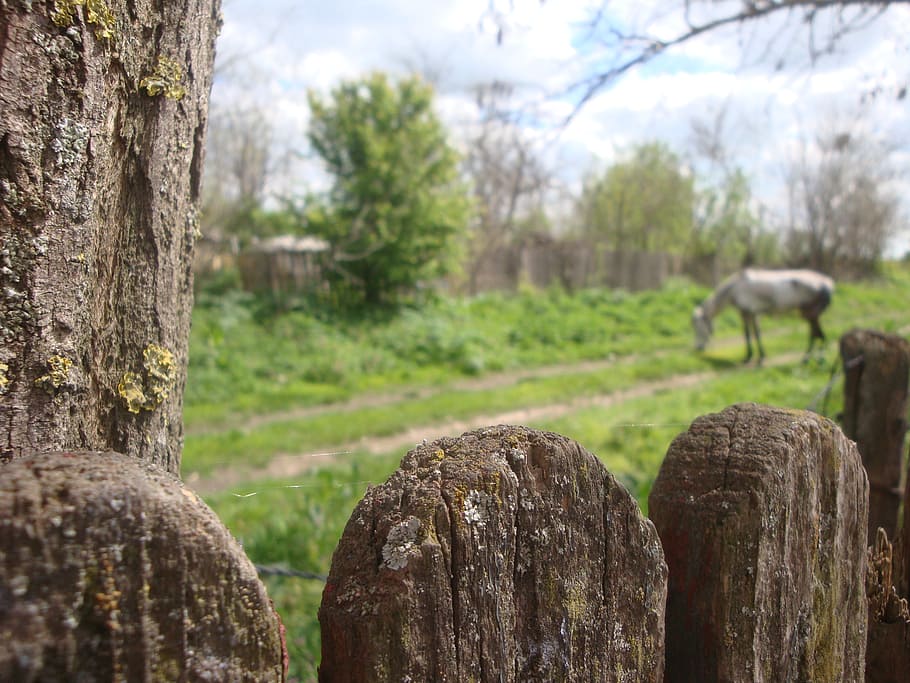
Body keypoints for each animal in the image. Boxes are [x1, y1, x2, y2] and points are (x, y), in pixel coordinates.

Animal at [692, 268, 834, 363]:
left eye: (698, 328)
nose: (698, 348)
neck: (736, 287)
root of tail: (827, 282)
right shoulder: (745, 314)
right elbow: (748, 334)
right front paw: (748, 356)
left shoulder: (752, 313)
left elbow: (756, 334)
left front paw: (760, 357)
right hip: (809, 313)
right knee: (816, 333)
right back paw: (811, 358)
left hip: (811, 314)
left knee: (815, 333)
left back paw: (813, 358)